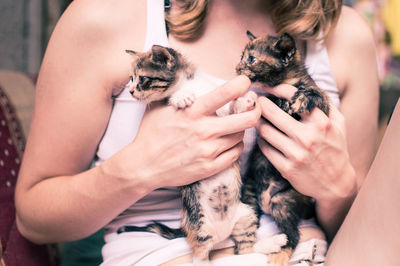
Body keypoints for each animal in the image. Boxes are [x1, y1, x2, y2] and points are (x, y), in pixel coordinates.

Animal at [236, 31, 330, 266]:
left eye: (251, 59)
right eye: (241, 57)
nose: (237, 68)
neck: (288, 80)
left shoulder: (325, 109)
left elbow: (317, 93)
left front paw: (302, 98)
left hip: (282, 201)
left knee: (293, 235)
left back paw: (279, 253)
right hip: (249, 191)